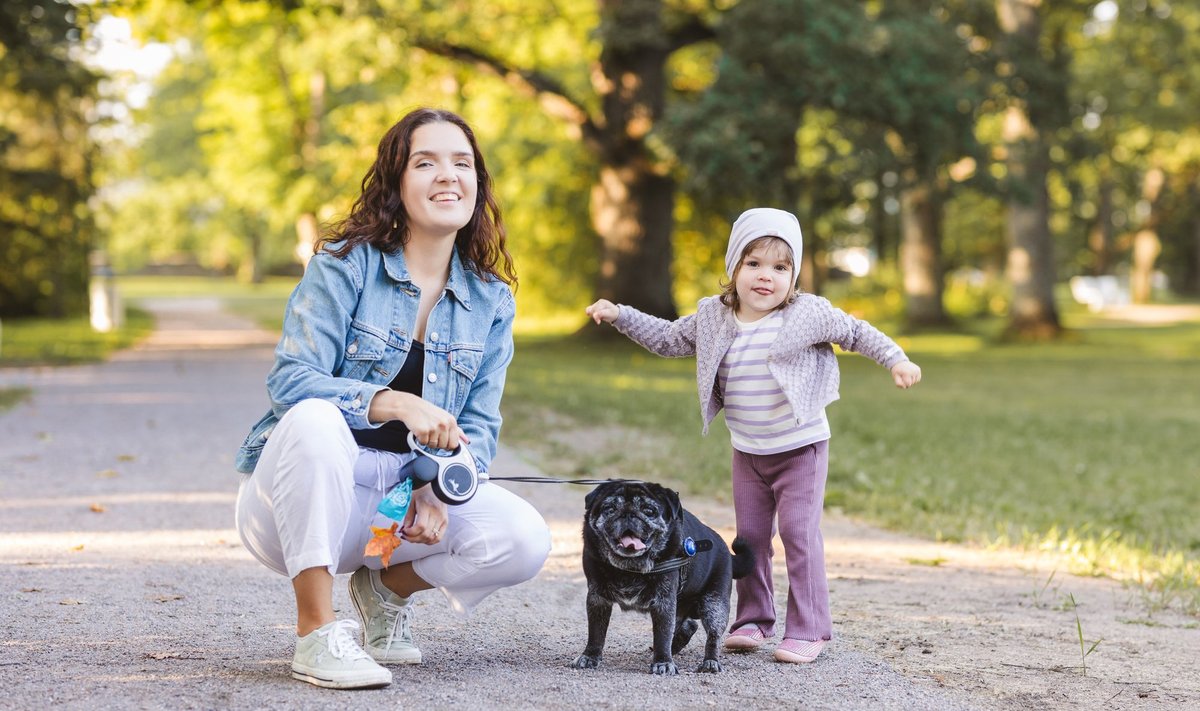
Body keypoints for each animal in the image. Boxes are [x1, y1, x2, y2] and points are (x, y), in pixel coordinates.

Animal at [568, 480, 748, 672]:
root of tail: (726, 551)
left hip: (714, 605)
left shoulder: (664, 602)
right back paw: (675, 647)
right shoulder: (597, 598)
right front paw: (589, 656)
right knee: (688, 625)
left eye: (648, 511)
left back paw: (710, 662)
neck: (629, 567)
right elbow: (596, 632)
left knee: (713, 636)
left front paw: (663, 662)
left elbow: (662, 634)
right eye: (609, 508)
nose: (628, 514)